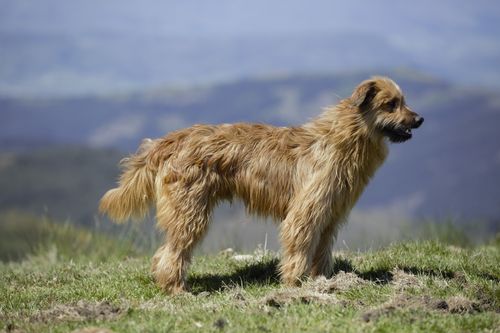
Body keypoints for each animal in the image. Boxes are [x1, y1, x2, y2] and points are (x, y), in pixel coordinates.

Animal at [99, 76, 424, 294]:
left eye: (403, 101)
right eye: (390, 104)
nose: (420, 119)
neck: (344, 137)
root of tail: (170, 140)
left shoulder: (330, 214)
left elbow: (322, 252)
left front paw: (322, 282)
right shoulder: (305, 212)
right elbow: (299, 247)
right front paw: (295, 284)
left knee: (163, 252)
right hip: (189, 211)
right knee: (173, 252)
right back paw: (178, 289)